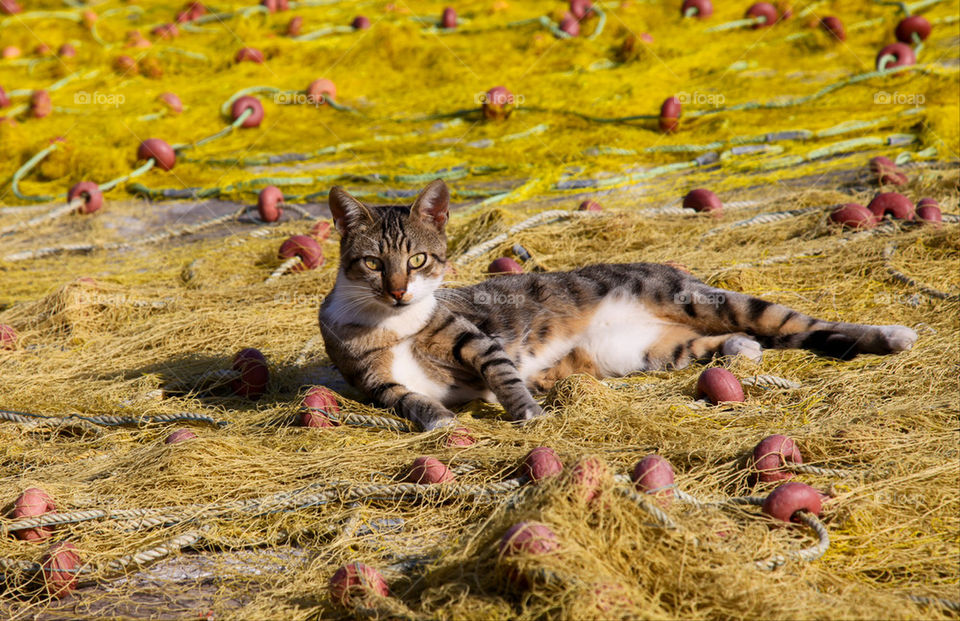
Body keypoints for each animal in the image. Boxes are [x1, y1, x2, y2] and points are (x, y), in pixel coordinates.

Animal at [318, 180, 920, 432]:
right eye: (373, 263)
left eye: (418, 259)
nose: (399, 289)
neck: (392, 322)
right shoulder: (368, 378)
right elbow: (403, 397)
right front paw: (437, 417)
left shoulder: (471, 336)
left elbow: (500, 368)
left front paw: (526, 411)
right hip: (644, 350)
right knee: (713, 343)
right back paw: (738, 349)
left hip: (702, 298)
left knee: (802, 324)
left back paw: (890, 335)